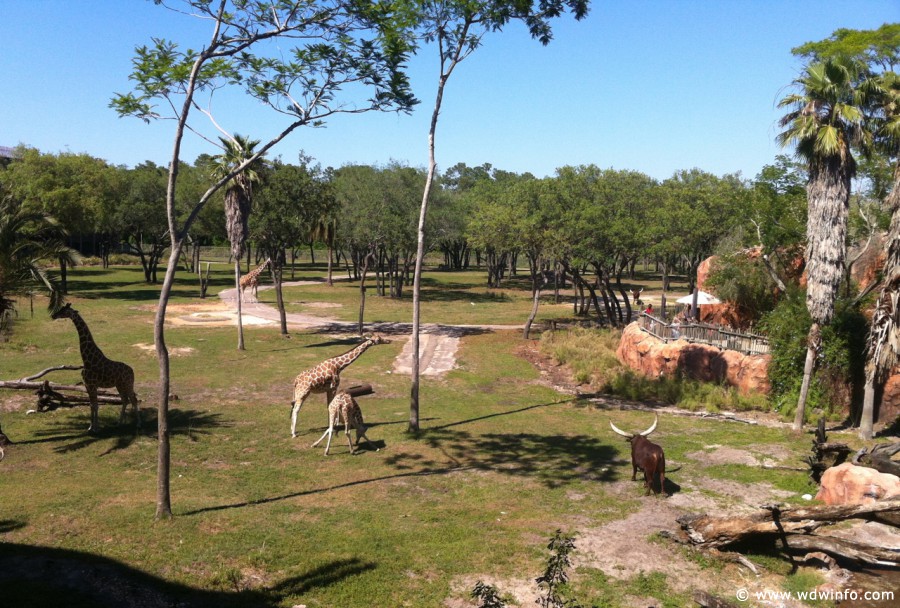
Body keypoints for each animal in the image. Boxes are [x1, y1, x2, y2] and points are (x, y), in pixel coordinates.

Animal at [52, 302, 141, 432]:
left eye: (64, 310)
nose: (53, 315)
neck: (87, 360)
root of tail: (132, 371)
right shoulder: (87, 385)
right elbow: (91, 405)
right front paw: (90, 427)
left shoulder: (93, 385)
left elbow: (96, 405)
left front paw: (96, 427)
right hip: (119, 385)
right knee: (125, 400)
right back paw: (119, 422)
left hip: (128, 383)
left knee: (133, 399)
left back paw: (137, 423)